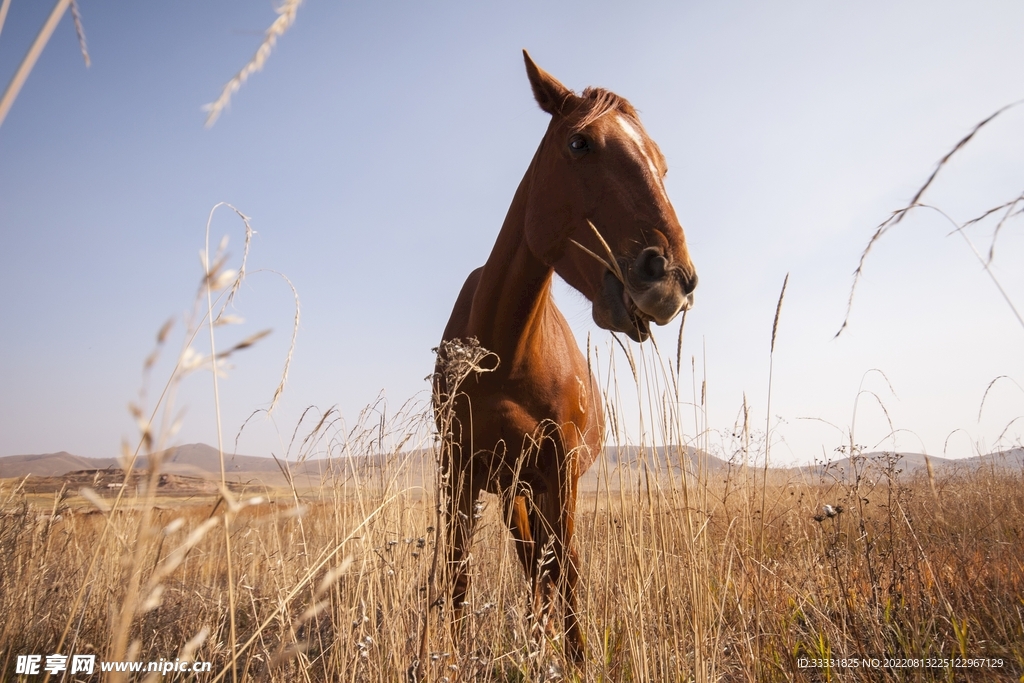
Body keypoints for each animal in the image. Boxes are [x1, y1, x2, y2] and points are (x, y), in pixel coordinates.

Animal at [433, 50, 697, 661]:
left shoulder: (562, 472)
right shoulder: (459, 473)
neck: (503, 354)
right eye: (580, 143)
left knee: (546, 568)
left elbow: (568, 574)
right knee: (532, 565)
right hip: (513, 491)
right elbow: (457, 578)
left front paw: (573, 657)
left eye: (662, 165)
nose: (673, 278)